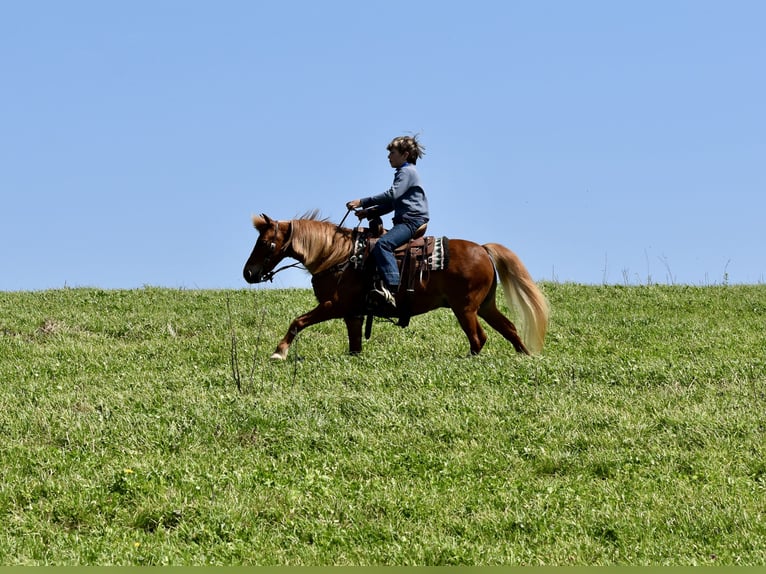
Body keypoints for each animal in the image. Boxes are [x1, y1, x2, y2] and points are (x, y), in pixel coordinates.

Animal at [243, 212, 549, 359]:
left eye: (267, 243)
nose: (248, 273)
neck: (339, 256)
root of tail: (484, 250)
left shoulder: (334, 305)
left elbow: (298, 321)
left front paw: (279, 352)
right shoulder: (352, 314)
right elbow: (354, 345)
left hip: (465, 309)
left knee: (478, 338)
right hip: (485, 306)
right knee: (509, 328)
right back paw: (526, 356)